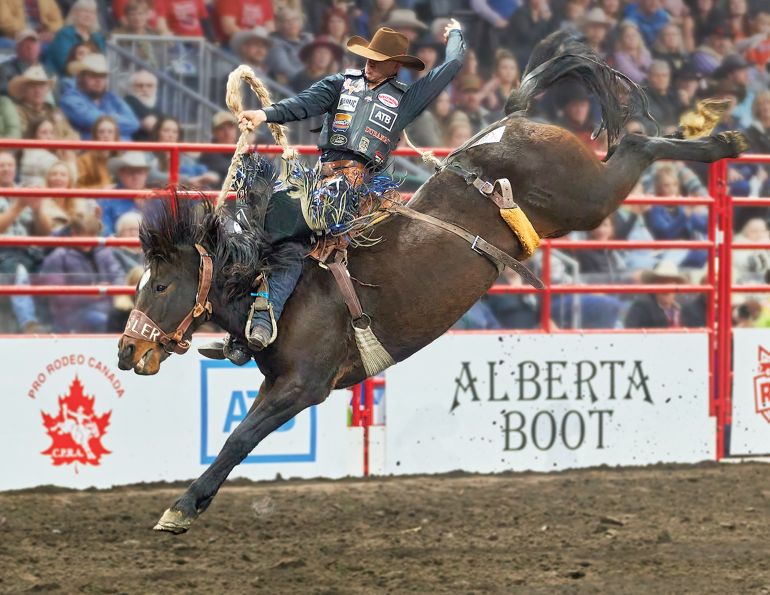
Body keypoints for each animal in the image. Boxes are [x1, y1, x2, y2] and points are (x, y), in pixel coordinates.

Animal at [117, 32, 748, 533]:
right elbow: (240, 435)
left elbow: (239, 439)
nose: (126, 351)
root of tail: (507, 123)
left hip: (587, 197)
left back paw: (720, 141)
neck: (272, 284)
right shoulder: (283, 384)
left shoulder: (302, 387)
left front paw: (181, 506)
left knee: (635, 145)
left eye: (161, 287)